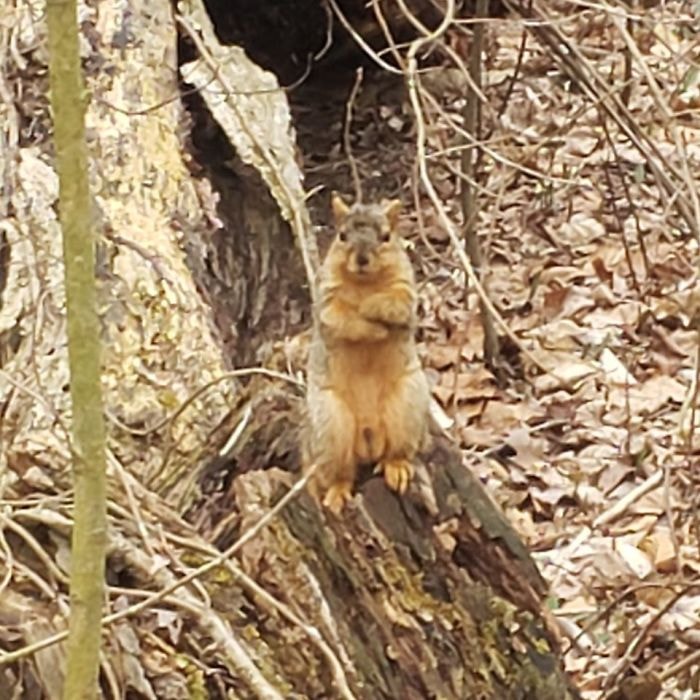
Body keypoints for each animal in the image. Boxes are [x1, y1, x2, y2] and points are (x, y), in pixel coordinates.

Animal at [302, 194, 430, 512]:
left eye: (386, 237)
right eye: (341, 235)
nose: (361, 258)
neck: (364, 284)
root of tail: (369, 437)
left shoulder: (406, 293)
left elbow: (395, 303)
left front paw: (373, 307)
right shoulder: (326, 304)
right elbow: (343, 319)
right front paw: (371, 328)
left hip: (407, 408)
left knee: (396, 452)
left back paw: (396, 468)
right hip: (331, 427)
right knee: (341, 472)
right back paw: (336, 493)